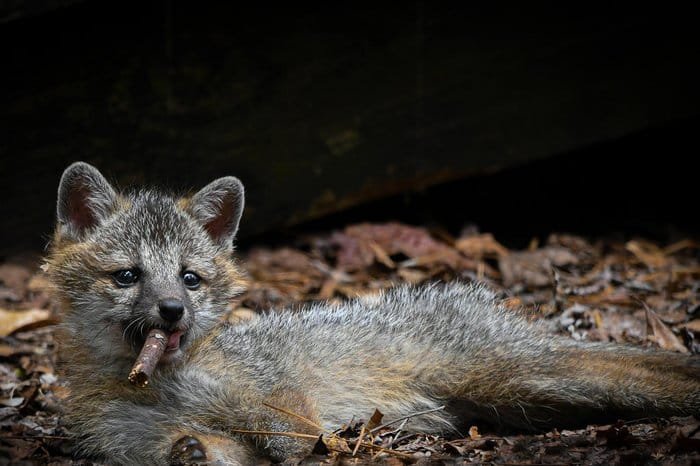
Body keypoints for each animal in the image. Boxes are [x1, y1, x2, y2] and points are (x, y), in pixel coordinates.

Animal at [46, 162, 696, 464]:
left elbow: (294, 439)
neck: (161, 388)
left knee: (642, 372)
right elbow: (202, 449)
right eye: (128, 276)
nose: (173, 311)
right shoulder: (151, 443)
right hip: (520, 397)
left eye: (189, 278)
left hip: (523, 377)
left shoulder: (284, 408)